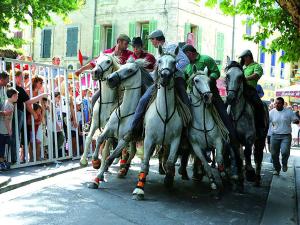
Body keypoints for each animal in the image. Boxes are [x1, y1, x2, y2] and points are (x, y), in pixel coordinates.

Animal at [87, 57, 148, 188]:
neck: (125, 112)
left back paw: (123, 169)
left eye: (130, 70)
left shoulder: (124, 139)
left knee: (132, 153)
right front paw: (95, 161)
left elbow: (109, 157)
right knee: (131, 151)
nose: (110, 79)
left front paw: (97, 179)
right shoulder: (108, 130)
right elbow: (99, 140)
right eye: (122, 66)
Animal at [133, 45, 184, 200]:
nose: (165, 76)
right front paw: (139, 189)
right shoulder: (149, 139)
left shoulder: (175, 140)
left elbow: (171, 161)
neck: (165, 110)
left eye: (174, 62)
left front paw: (169, 180)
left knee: (165, 156)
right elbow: (145, 163)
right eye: (160, 61)